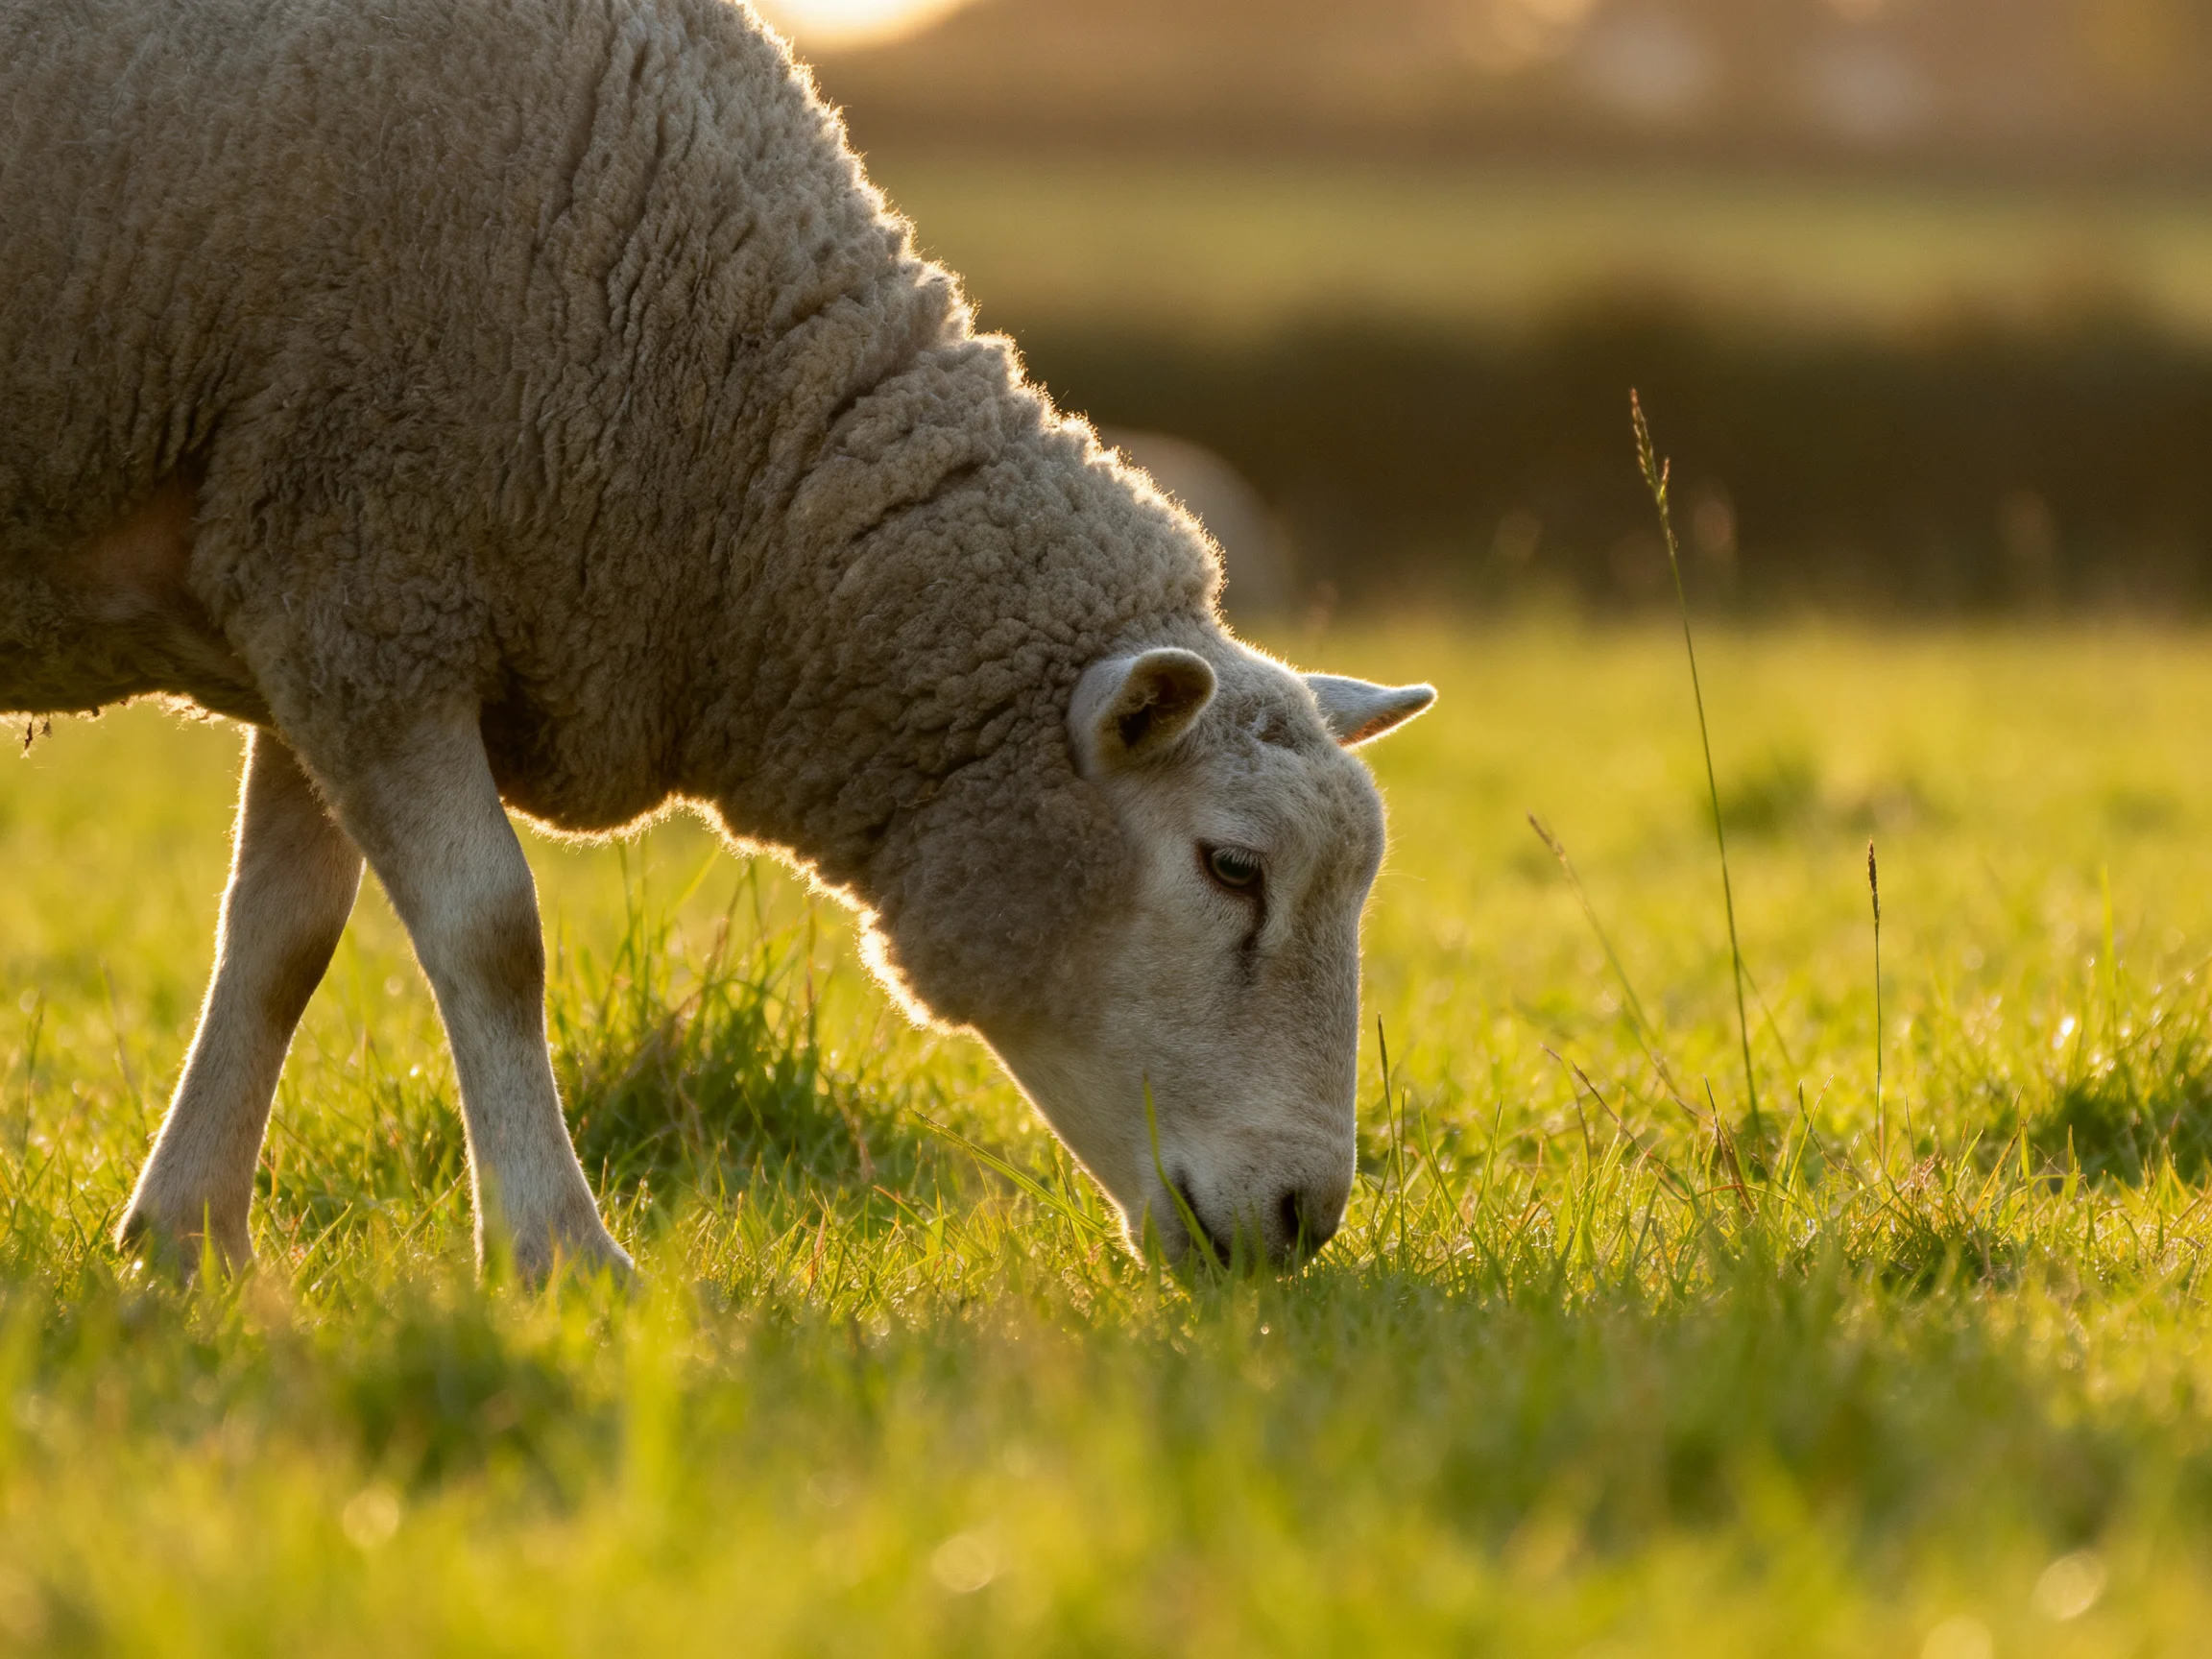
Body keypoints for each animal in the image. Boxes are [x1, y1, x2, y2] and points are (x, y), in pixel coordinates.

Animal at [0, 0, 1435, 1277]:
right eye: (1233, 868)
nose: (1306, 1219)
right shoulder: (363, 570)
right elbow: (491, 934)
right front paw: (559, 1253)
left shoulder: (318, 585)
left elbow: (280, 942)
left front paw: (189, 1241)